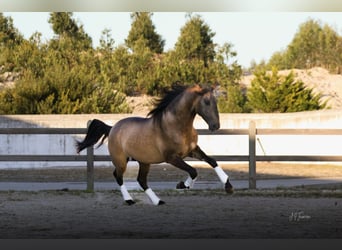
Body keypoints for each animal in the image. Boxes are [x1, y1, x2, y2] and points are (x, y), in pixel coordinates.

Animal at [76, 84, 234, 205]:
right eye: (206, 102)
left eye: (215, 102)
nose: (215, 126)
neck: (176, 126)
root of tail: (112, 128)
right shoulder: (172, 158)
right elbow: (193, 171)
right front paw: (183, 185)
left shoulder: (192, 150)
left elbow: (212, 161)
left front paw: (228, 186)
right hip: (121, 160)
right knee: (118, 176)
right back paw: (129, 200)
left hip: (144, 162)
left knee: (141, 180)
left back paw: (157, 201)